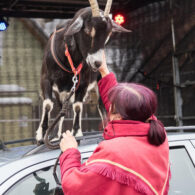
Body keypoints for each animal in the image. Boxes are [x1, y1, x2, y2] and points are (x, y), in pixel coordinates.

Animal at [35, 0, 129, 144]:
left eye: (108, 35)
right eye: (88, 30)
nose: (98, 63)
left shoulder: (83, 83)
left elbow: (78, 106)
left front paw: (77, 132)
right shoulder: (46, 79)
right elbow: (48, 104)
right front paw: (41, 134)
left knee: (101, 106)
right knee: (60, 107)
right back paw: (55, 135)